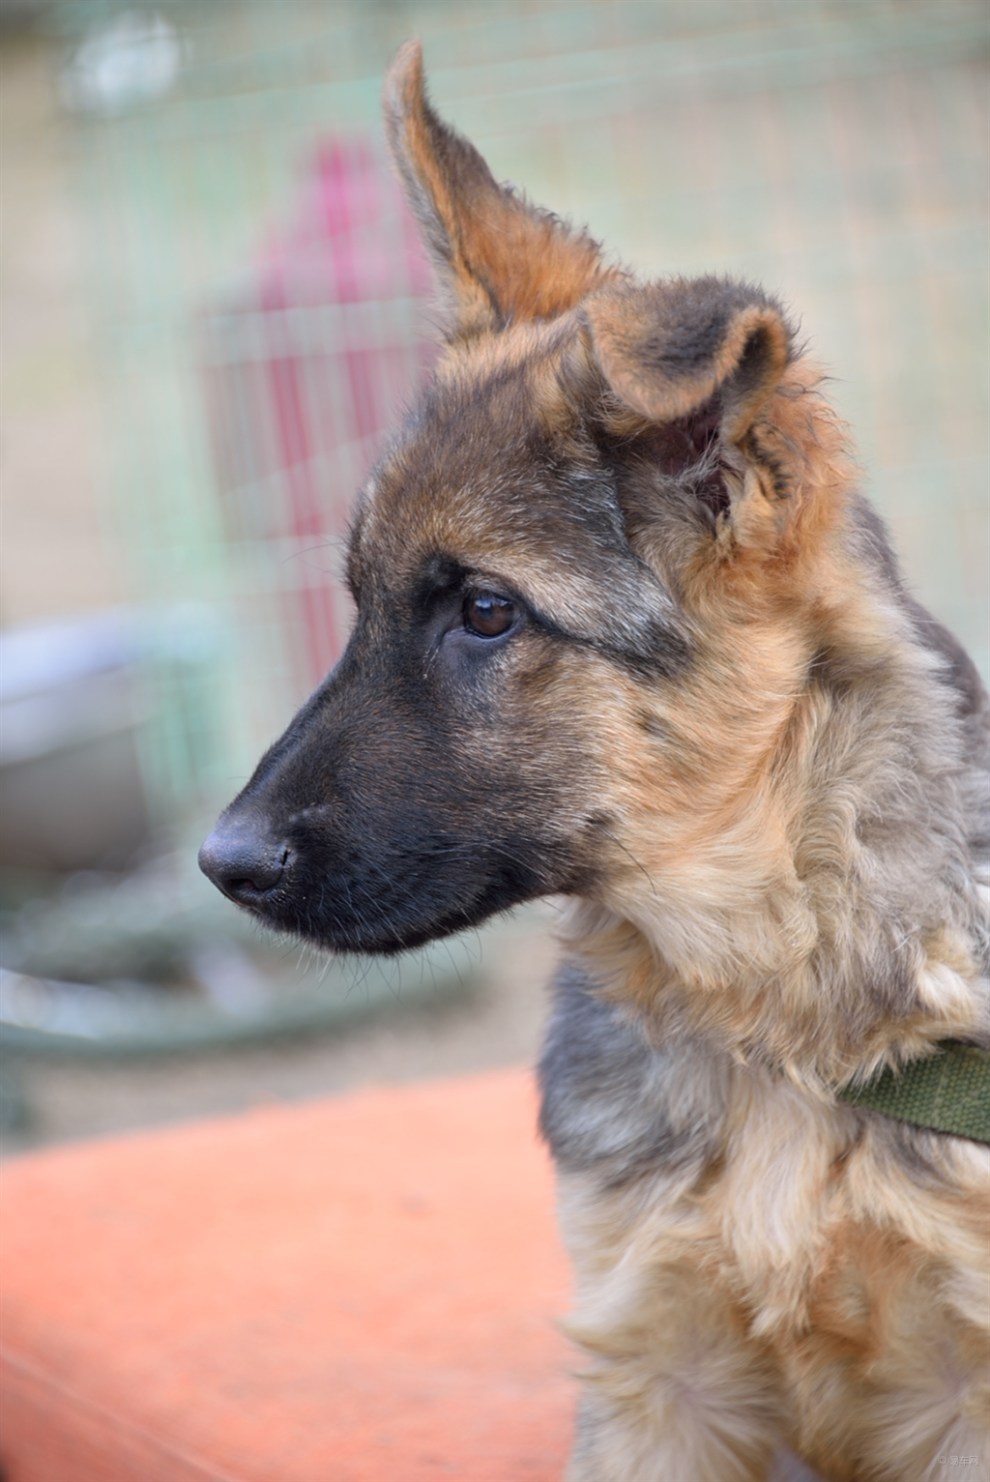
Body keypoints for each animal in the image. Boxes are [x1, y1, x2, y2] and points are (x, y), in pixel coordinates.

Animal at [201, 43, 989, 1482]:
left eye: (485, 611)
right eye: (358, 601)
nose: (220, 863)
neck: (760, 1025)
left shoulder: (961, 1376)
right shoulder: (656, 1369)